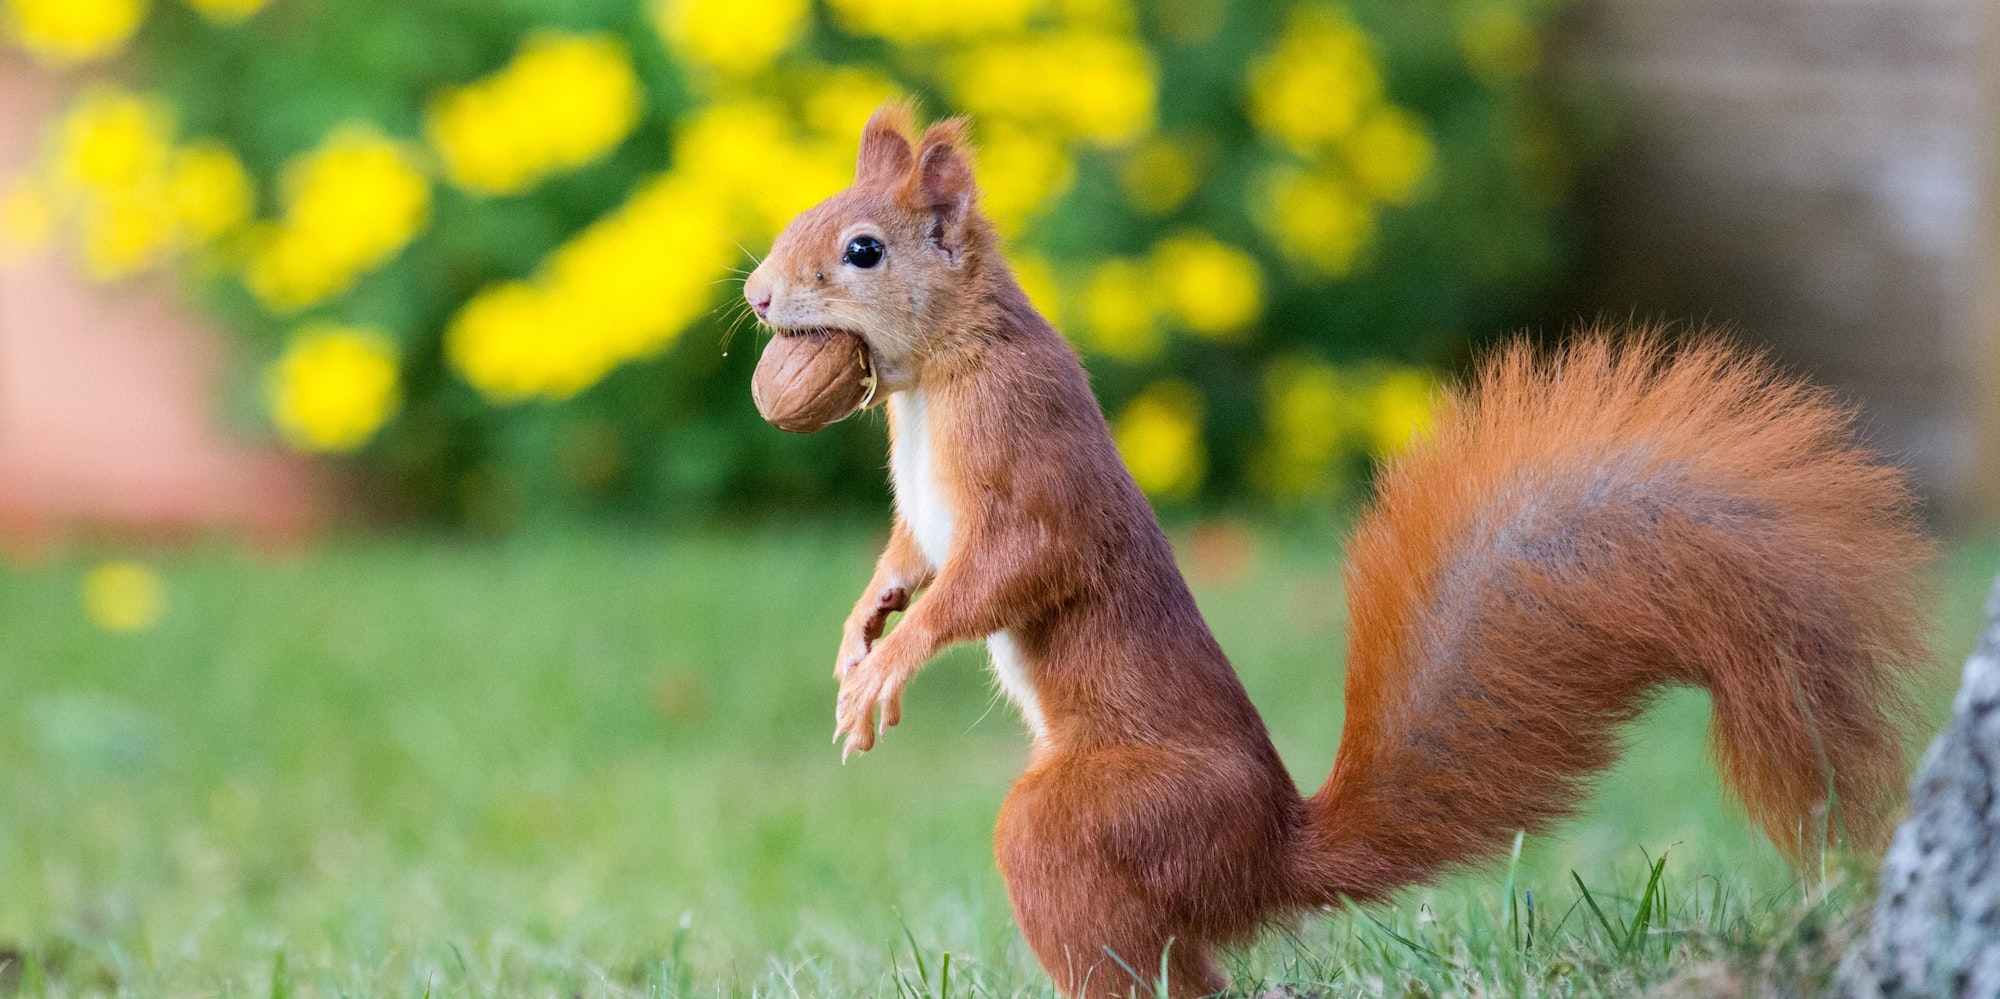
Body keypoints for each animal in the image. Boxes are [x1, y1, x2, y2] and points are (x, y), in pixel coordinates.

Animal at [741, 103, 1932, 999]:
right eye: (805, 215)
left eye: (861, 250)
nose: (753, 294)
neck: (936, 381)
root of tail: (1266, 856)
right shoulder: (924, 510)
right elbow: (908, 556)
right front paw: (863, 626)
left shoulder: (1027, 463)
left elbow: (1004, 572)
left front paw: (889, 670)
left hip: (1098, 822)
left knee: (1137, 956)